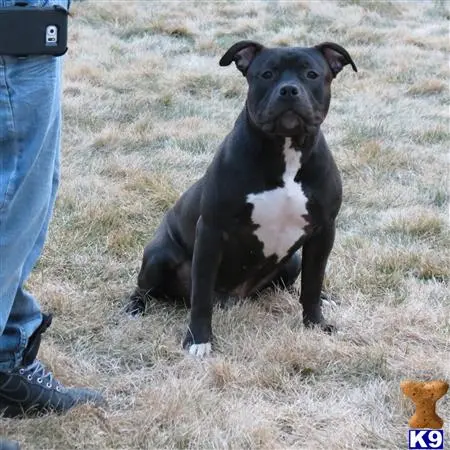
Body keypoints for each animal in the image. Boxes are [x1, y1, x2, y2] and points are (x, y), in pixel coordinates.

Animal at [128, 41, 356, 358]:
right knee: (146, 289)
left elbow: (312, 283)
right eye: (267, 74)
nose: (289, 90)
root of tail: (234, 296)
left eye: (311, 74)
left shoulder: (323, 231)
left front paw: (315, 323)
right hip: (158, 257)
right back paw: (134, 308)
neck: (285, 152)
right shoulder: (211, 231)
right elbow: (201, 296)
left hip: (293, 262)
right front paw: (198, 340)